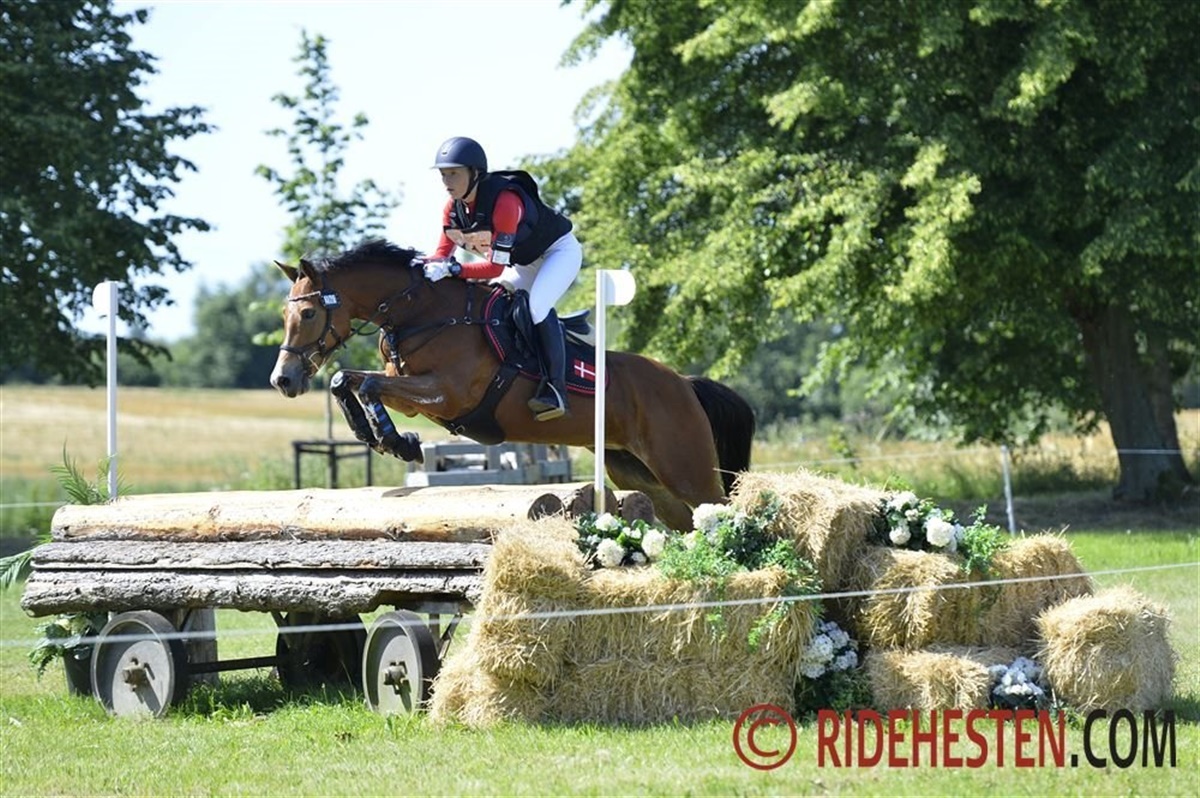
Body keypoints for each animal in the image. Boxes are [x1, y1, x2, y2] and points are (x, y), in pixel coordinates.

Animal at [268, 239, 755, 531]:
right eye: (284, 315)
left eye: (308, 313)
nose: (283, 379)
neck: (425, 314)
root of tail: (685, 384)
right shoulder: (407, 388)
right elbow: (346, 380)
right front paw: (376, 435)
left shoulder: (445, 394)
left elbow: (366, 386)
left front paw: (397, 442)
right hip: (641, 473)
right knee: (688, 522)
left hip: (684, 467)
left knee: (721, 509)